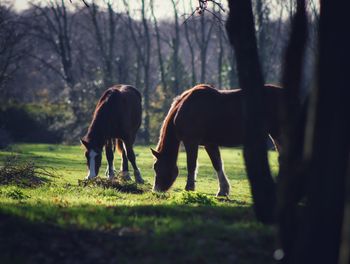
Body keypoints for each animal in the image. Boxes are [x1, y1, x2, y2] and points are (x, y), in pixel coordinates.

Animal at [152, 84, 284, 196]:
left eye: (157, 167)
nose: (156, 190)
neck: (183, 108)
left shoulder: (191, 141)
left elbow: (191, 164)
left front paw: (189, 188)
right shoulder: (210, 144)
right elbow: (217, 164)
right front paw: (223, 190)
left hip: (278, 133)